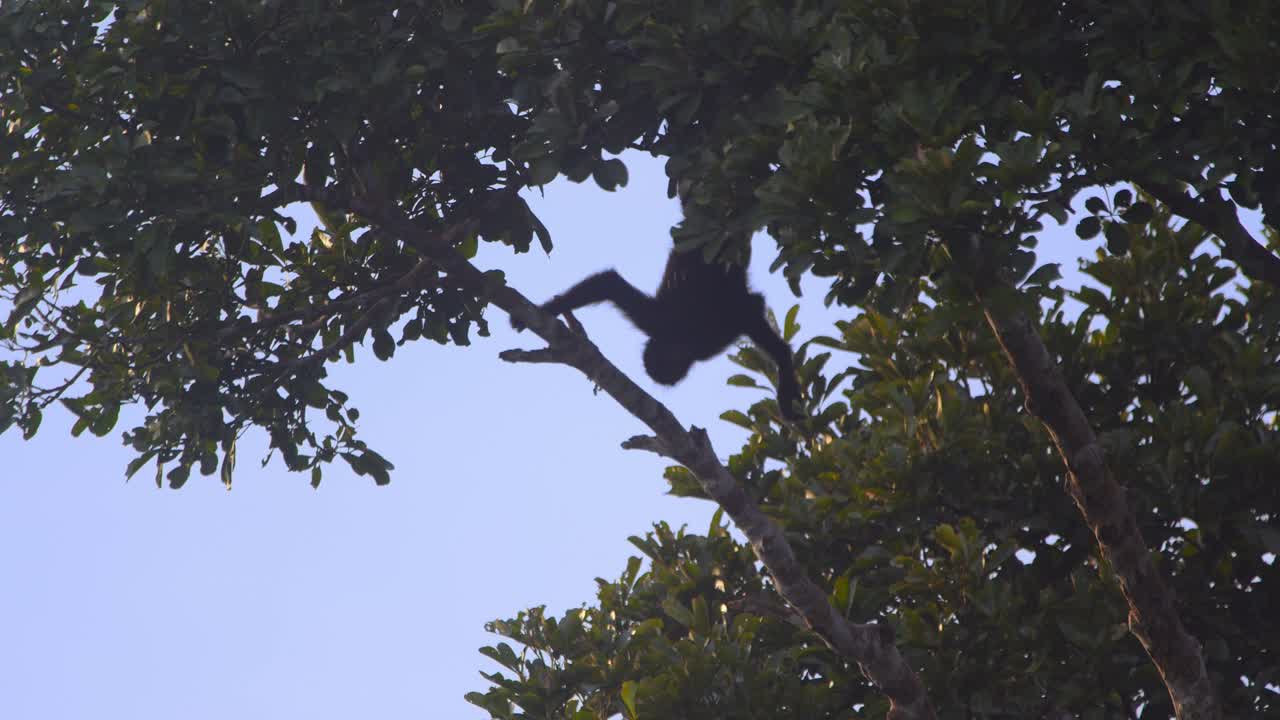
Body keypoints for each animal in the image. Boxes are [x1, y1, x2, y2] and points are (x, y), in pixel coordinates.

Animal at [514, 245, 802, 419]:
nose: (672, 380)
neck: (678, 334)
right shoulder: (658, 323)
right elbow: (609, 284)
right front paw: (549, 309)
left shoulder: (703, 334)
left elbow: (751, 310)